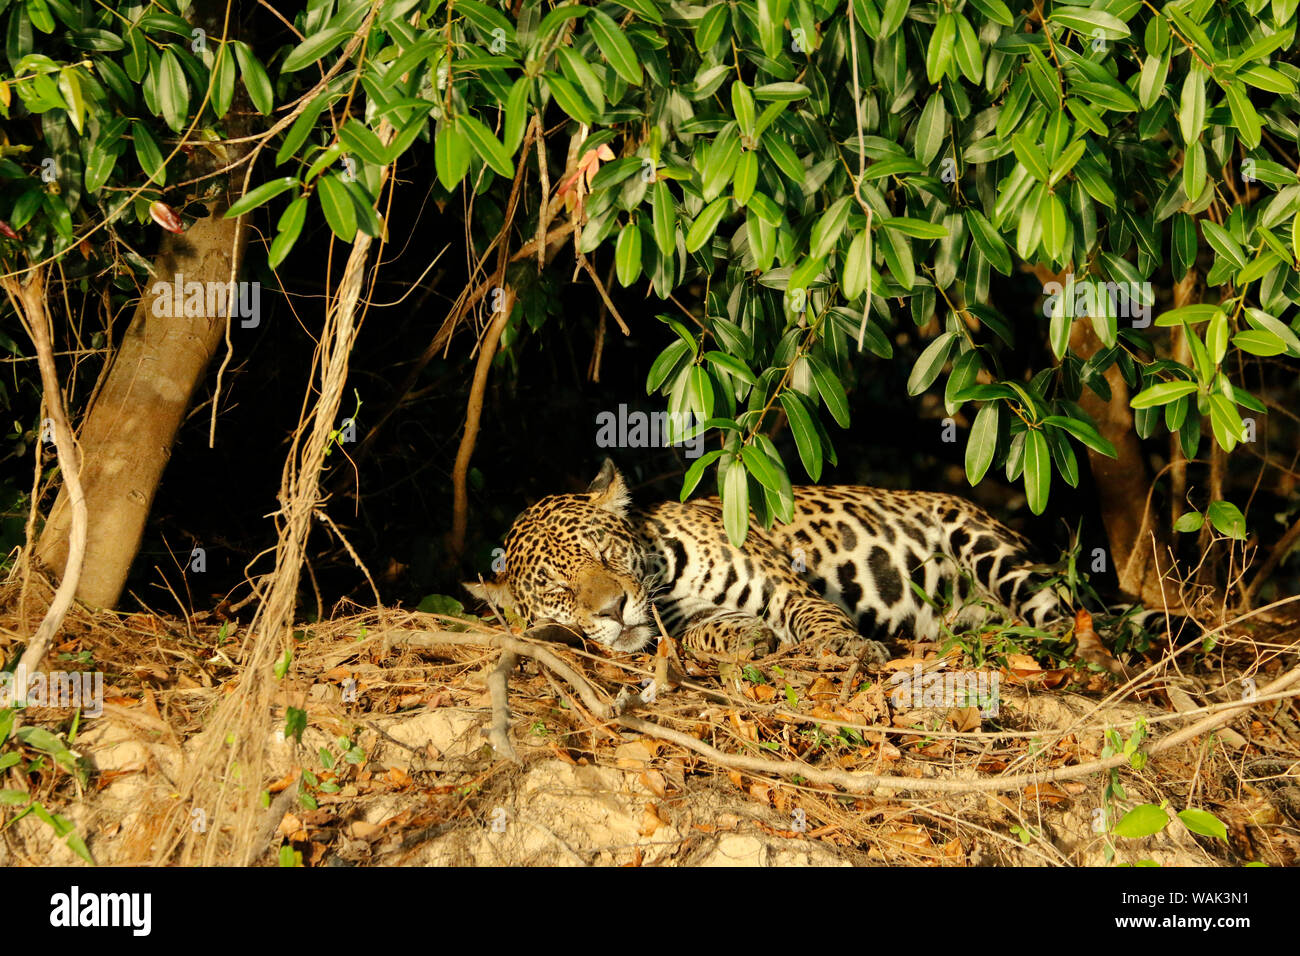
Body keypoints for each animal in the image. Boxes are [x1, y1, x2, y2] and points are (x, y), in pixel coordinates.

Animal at [463, 458, 1103, 668]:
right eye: (558, 589)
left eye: (604, 552)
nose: (613, 608)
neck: (663, 580)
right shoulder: (681, 620)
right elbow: (702, 632)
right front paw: (746, 639)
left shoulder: (784, 586)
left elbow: (817, 616)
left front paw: (847, 647)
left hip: (985, 544)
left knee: (1060, 613)